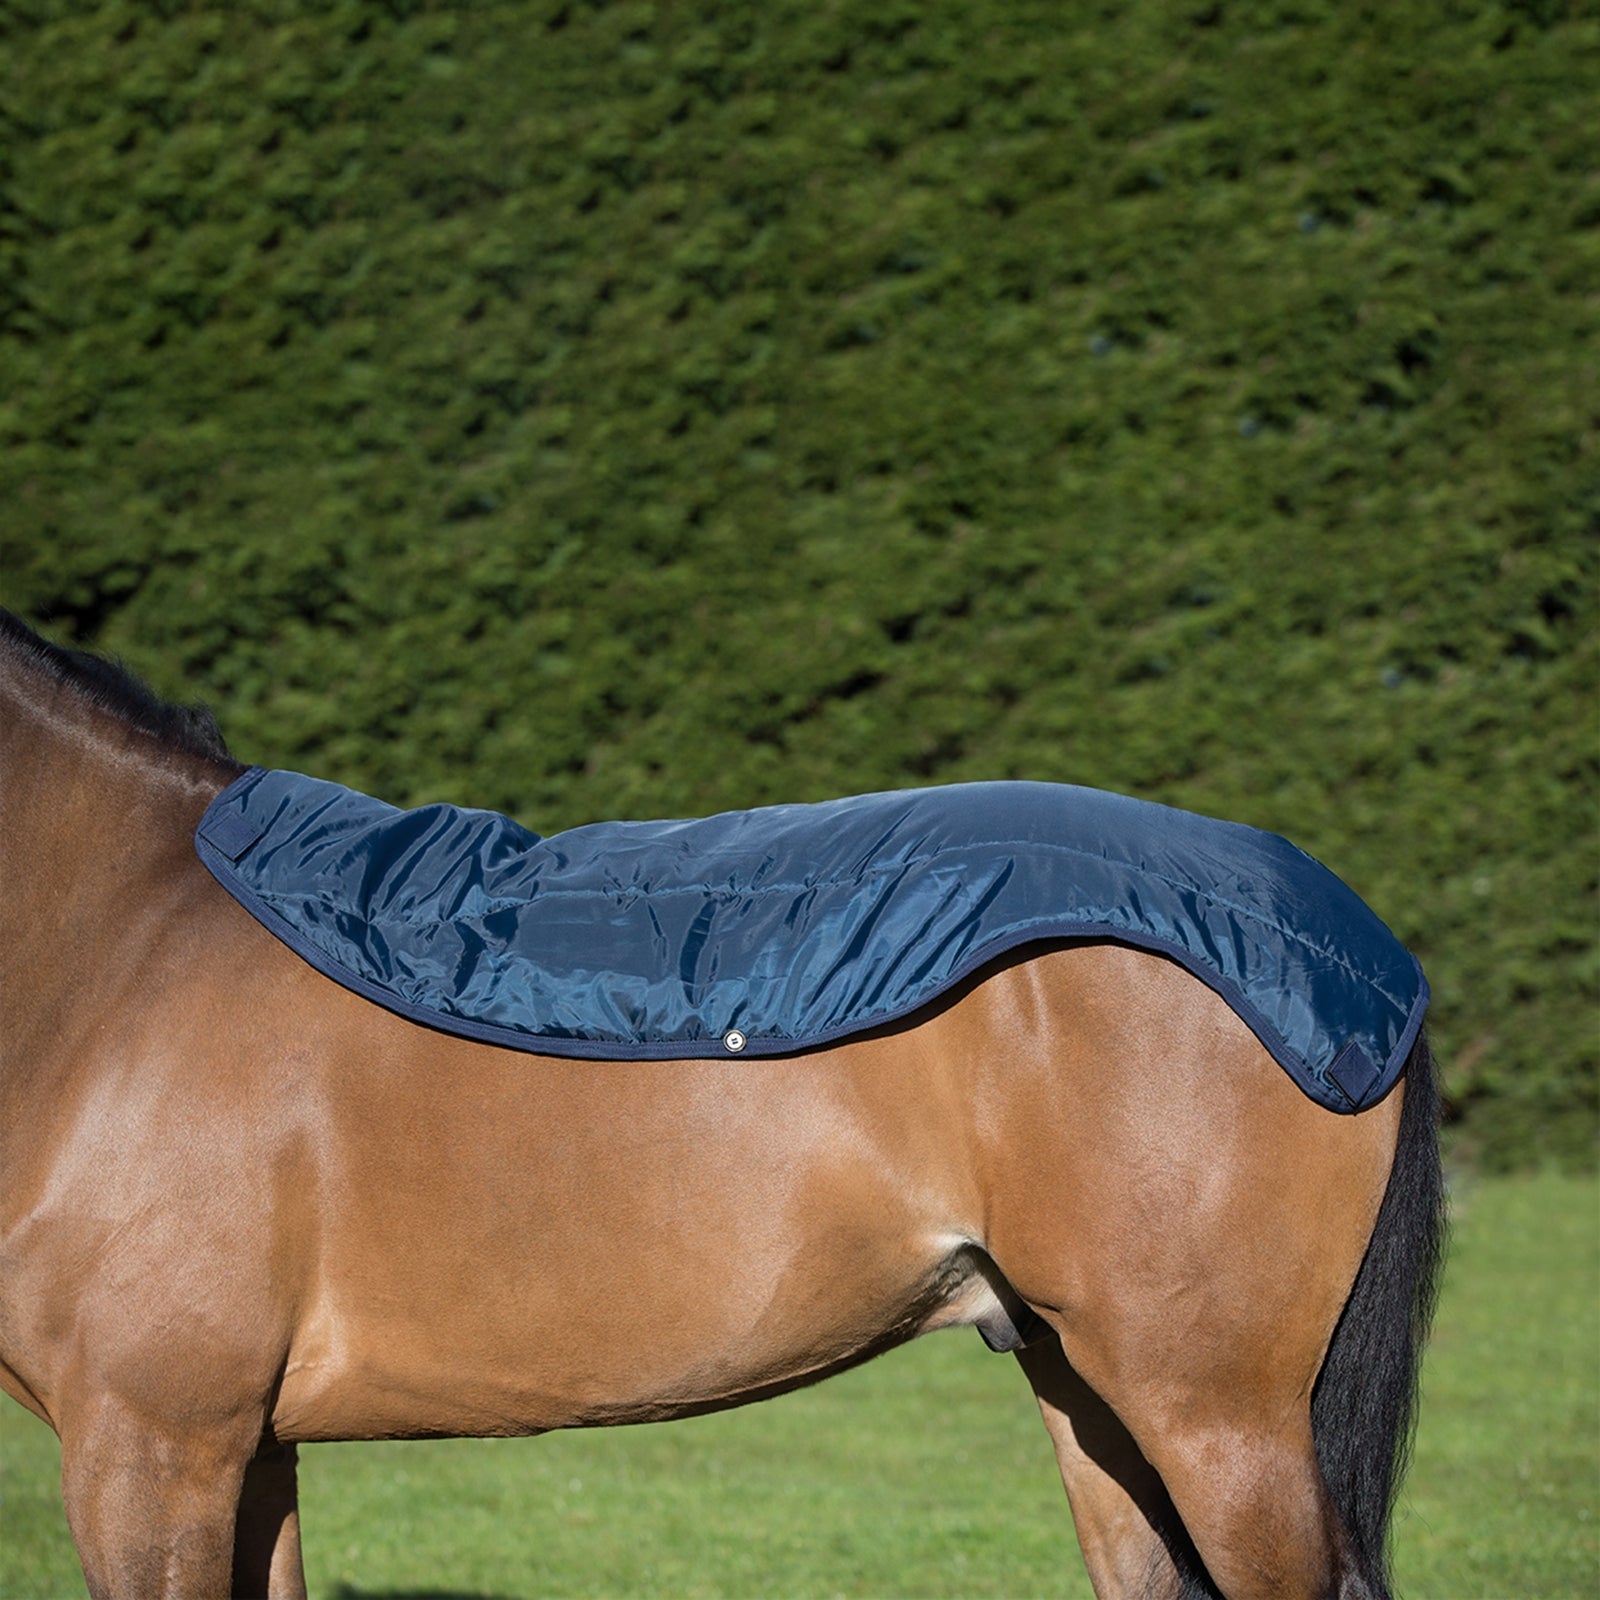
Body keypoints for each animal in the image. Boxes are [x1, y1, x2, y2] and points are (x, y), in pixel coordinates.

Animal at [0, 608, 1443, 1600]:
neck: (120, 959)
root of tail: (1361, 951)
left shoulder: (153, 1452)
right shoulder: (244, 1454)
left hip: (1216, 1415)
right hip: (1089, 1390)